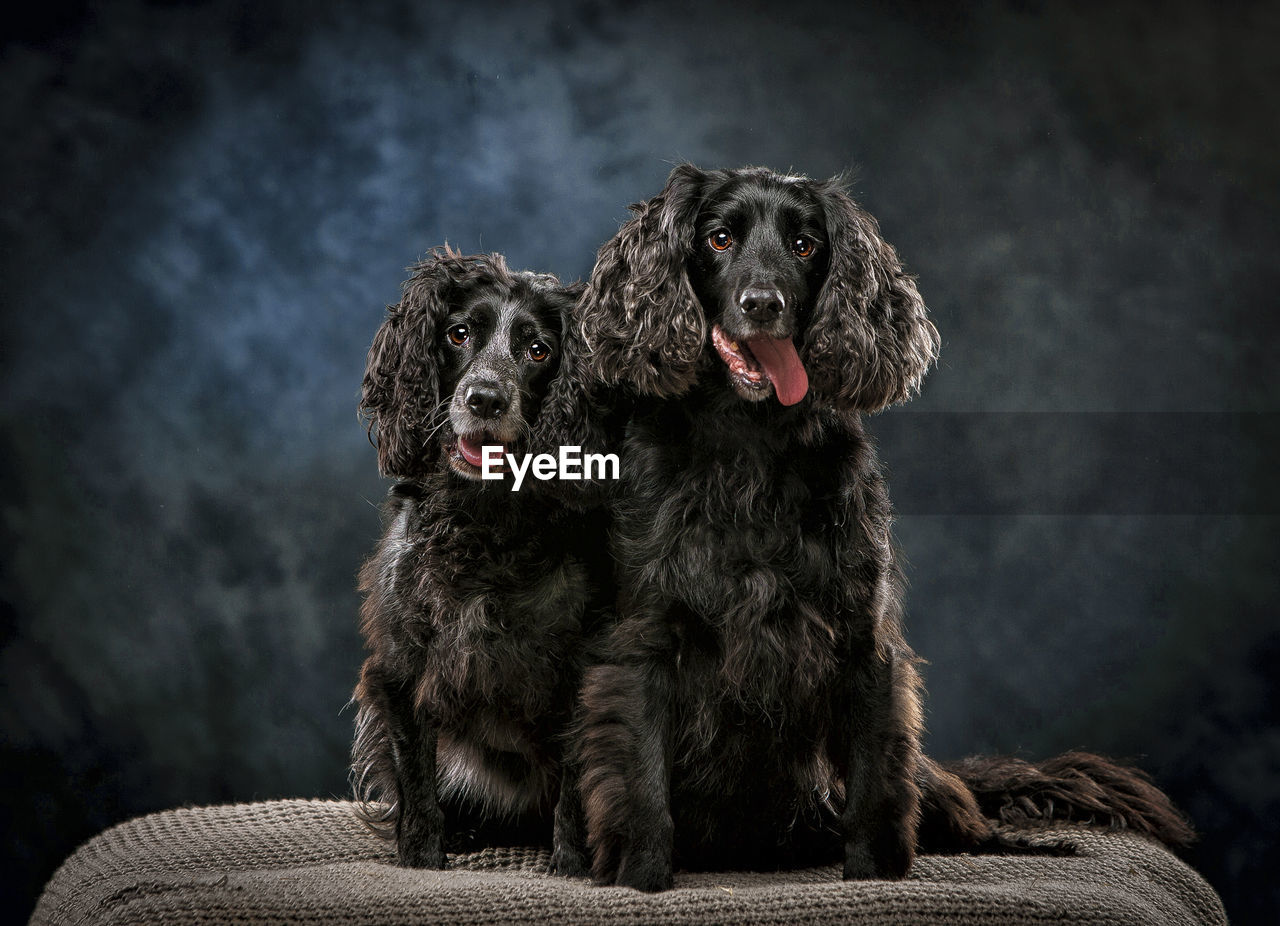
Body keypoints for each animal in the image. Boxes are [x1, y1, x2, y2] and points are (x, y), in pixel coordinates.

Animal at [350, 245, 609, 876]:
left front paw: (571, 866)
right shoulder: (401, 666)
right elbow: (417, 781)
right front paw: (422, 858)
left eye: (538, 350)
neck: (486, 525)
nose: (485, 398)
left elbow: (575, 785)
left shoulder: (581, 670)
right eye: (459, 333)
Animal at [570, 165, 1187, 891]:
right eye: (719, 238)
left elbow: (873, 783)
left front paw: (872, 873)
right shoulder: (644, 637)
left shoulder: (862, 637)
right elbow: (641, 777)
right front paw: (642, 873)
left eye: (805, 244)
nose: (763, 303)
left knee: (963, 811)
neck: (749, 442)